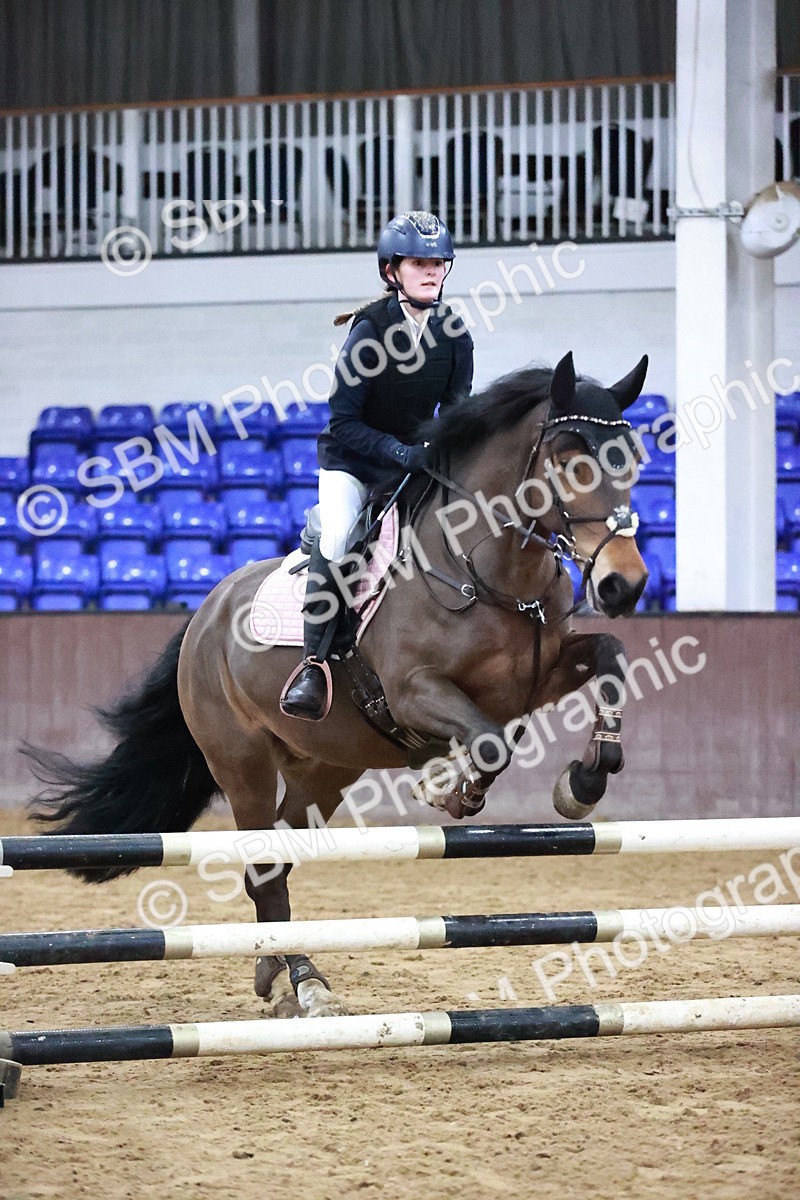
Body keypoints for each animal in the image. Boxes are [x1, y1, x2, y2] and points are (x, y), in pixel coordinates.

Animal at [25, 350, 649, 1020]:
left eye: (631, 457)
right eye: (566, 455)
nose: (625, 584)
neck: (487, 569)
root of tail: (206, 612)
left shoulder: (536, 680)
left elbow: (608, 657)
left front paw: (583, 782)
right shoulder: (413, 692)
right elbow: (490, 743)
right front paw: (447, 791)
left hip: (324, 771)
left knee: (275, 862)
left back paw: (284, 975)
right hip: (242, 764)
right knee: (263, 866)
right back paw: (301, 983)